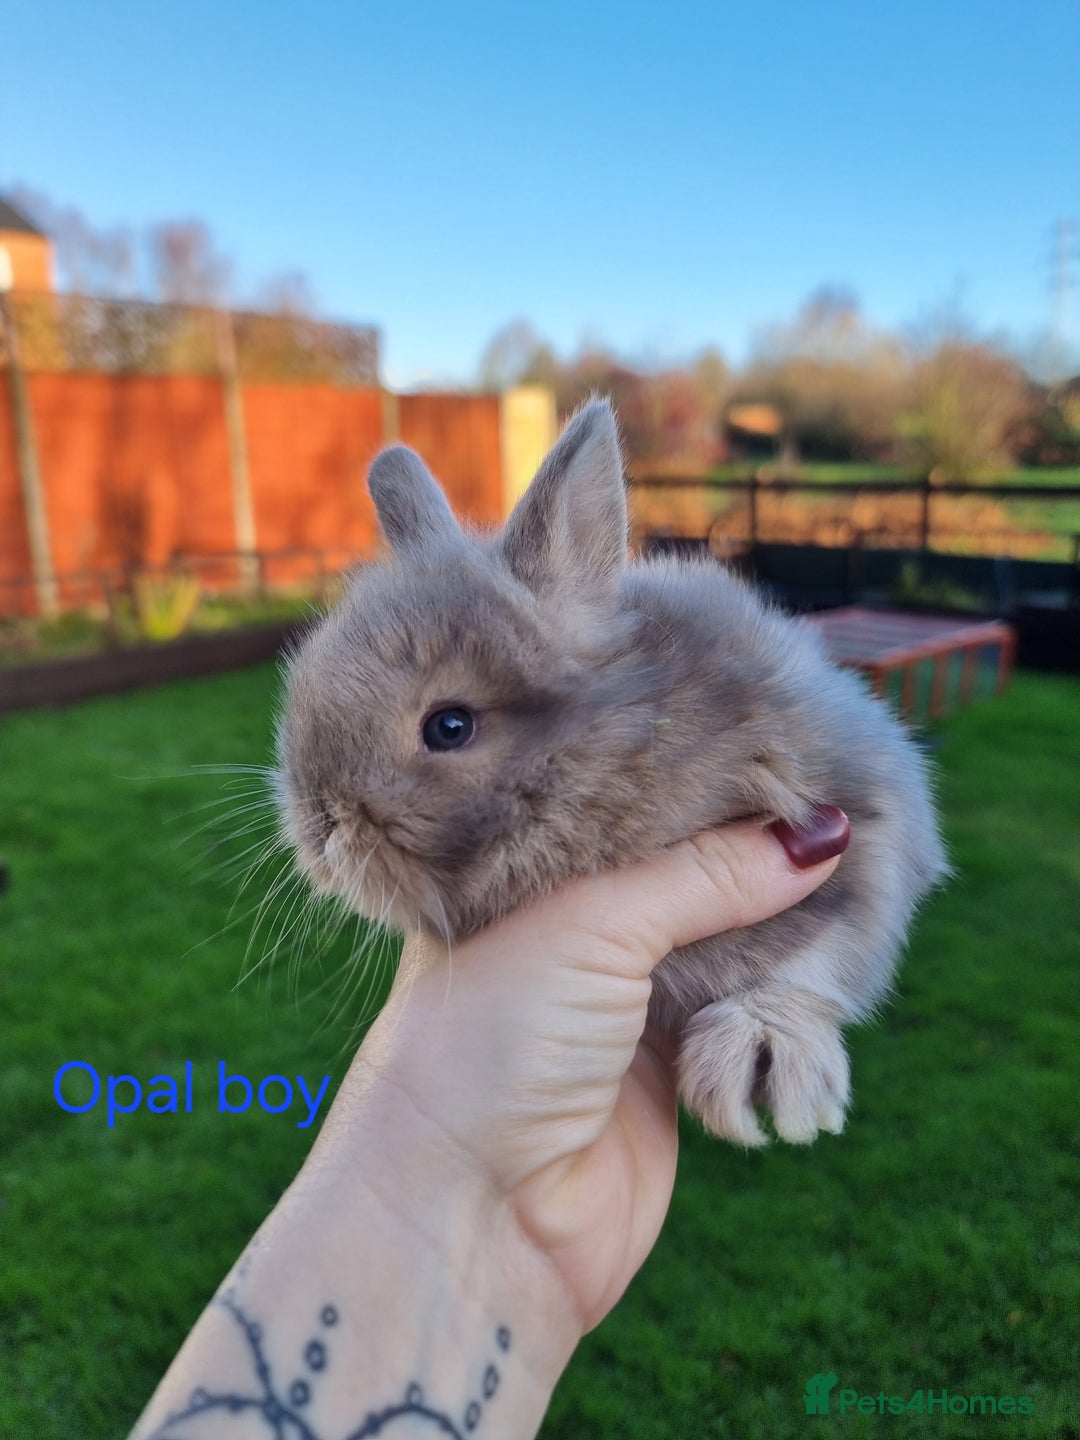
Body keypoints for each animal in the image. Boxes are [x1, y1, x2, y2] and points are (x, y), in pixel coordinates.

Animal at [276, 398, 948, 1146]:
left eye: (449, 727)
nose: (321, 829)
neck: (616, 756)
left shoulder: (864, 817)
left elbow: (822, 954)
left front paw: (763, 1057)